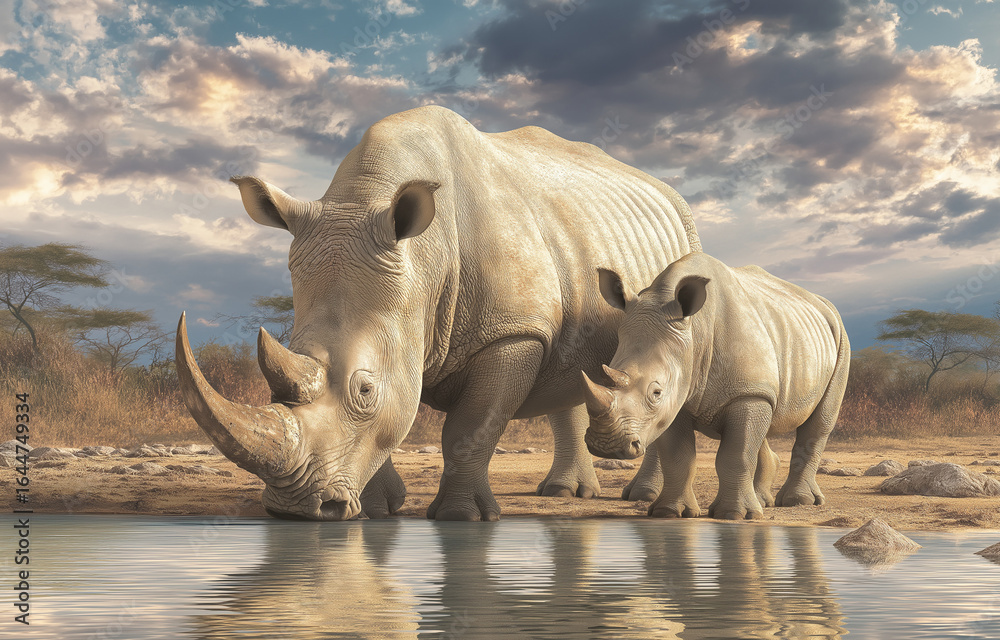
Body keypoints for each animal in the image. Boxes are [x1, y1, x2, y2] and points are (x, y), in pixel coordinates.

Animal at [175, 105, 701, 521]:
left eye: (365, 389)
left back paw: (640, 499)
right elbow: (393, 421)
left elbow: (470, 428)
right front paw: (378, 510)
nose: (293, 510)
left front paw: (461, 516)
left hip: (681, 259)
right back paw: (561, 493)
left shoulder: (512, 333)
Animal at [582, 252, 850, 520]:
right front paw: (669, 512)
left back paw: (797, 502)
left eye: (656, 393)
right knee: (764, 422)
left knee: (819, 423)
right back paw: (763, 502)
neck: (694, 333)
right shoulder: (679, 398)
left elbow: (736, 455)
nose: (606, 445)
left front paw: (734, 515)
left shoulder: (746, 393)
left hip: (840, 340)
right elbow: (678, 457)